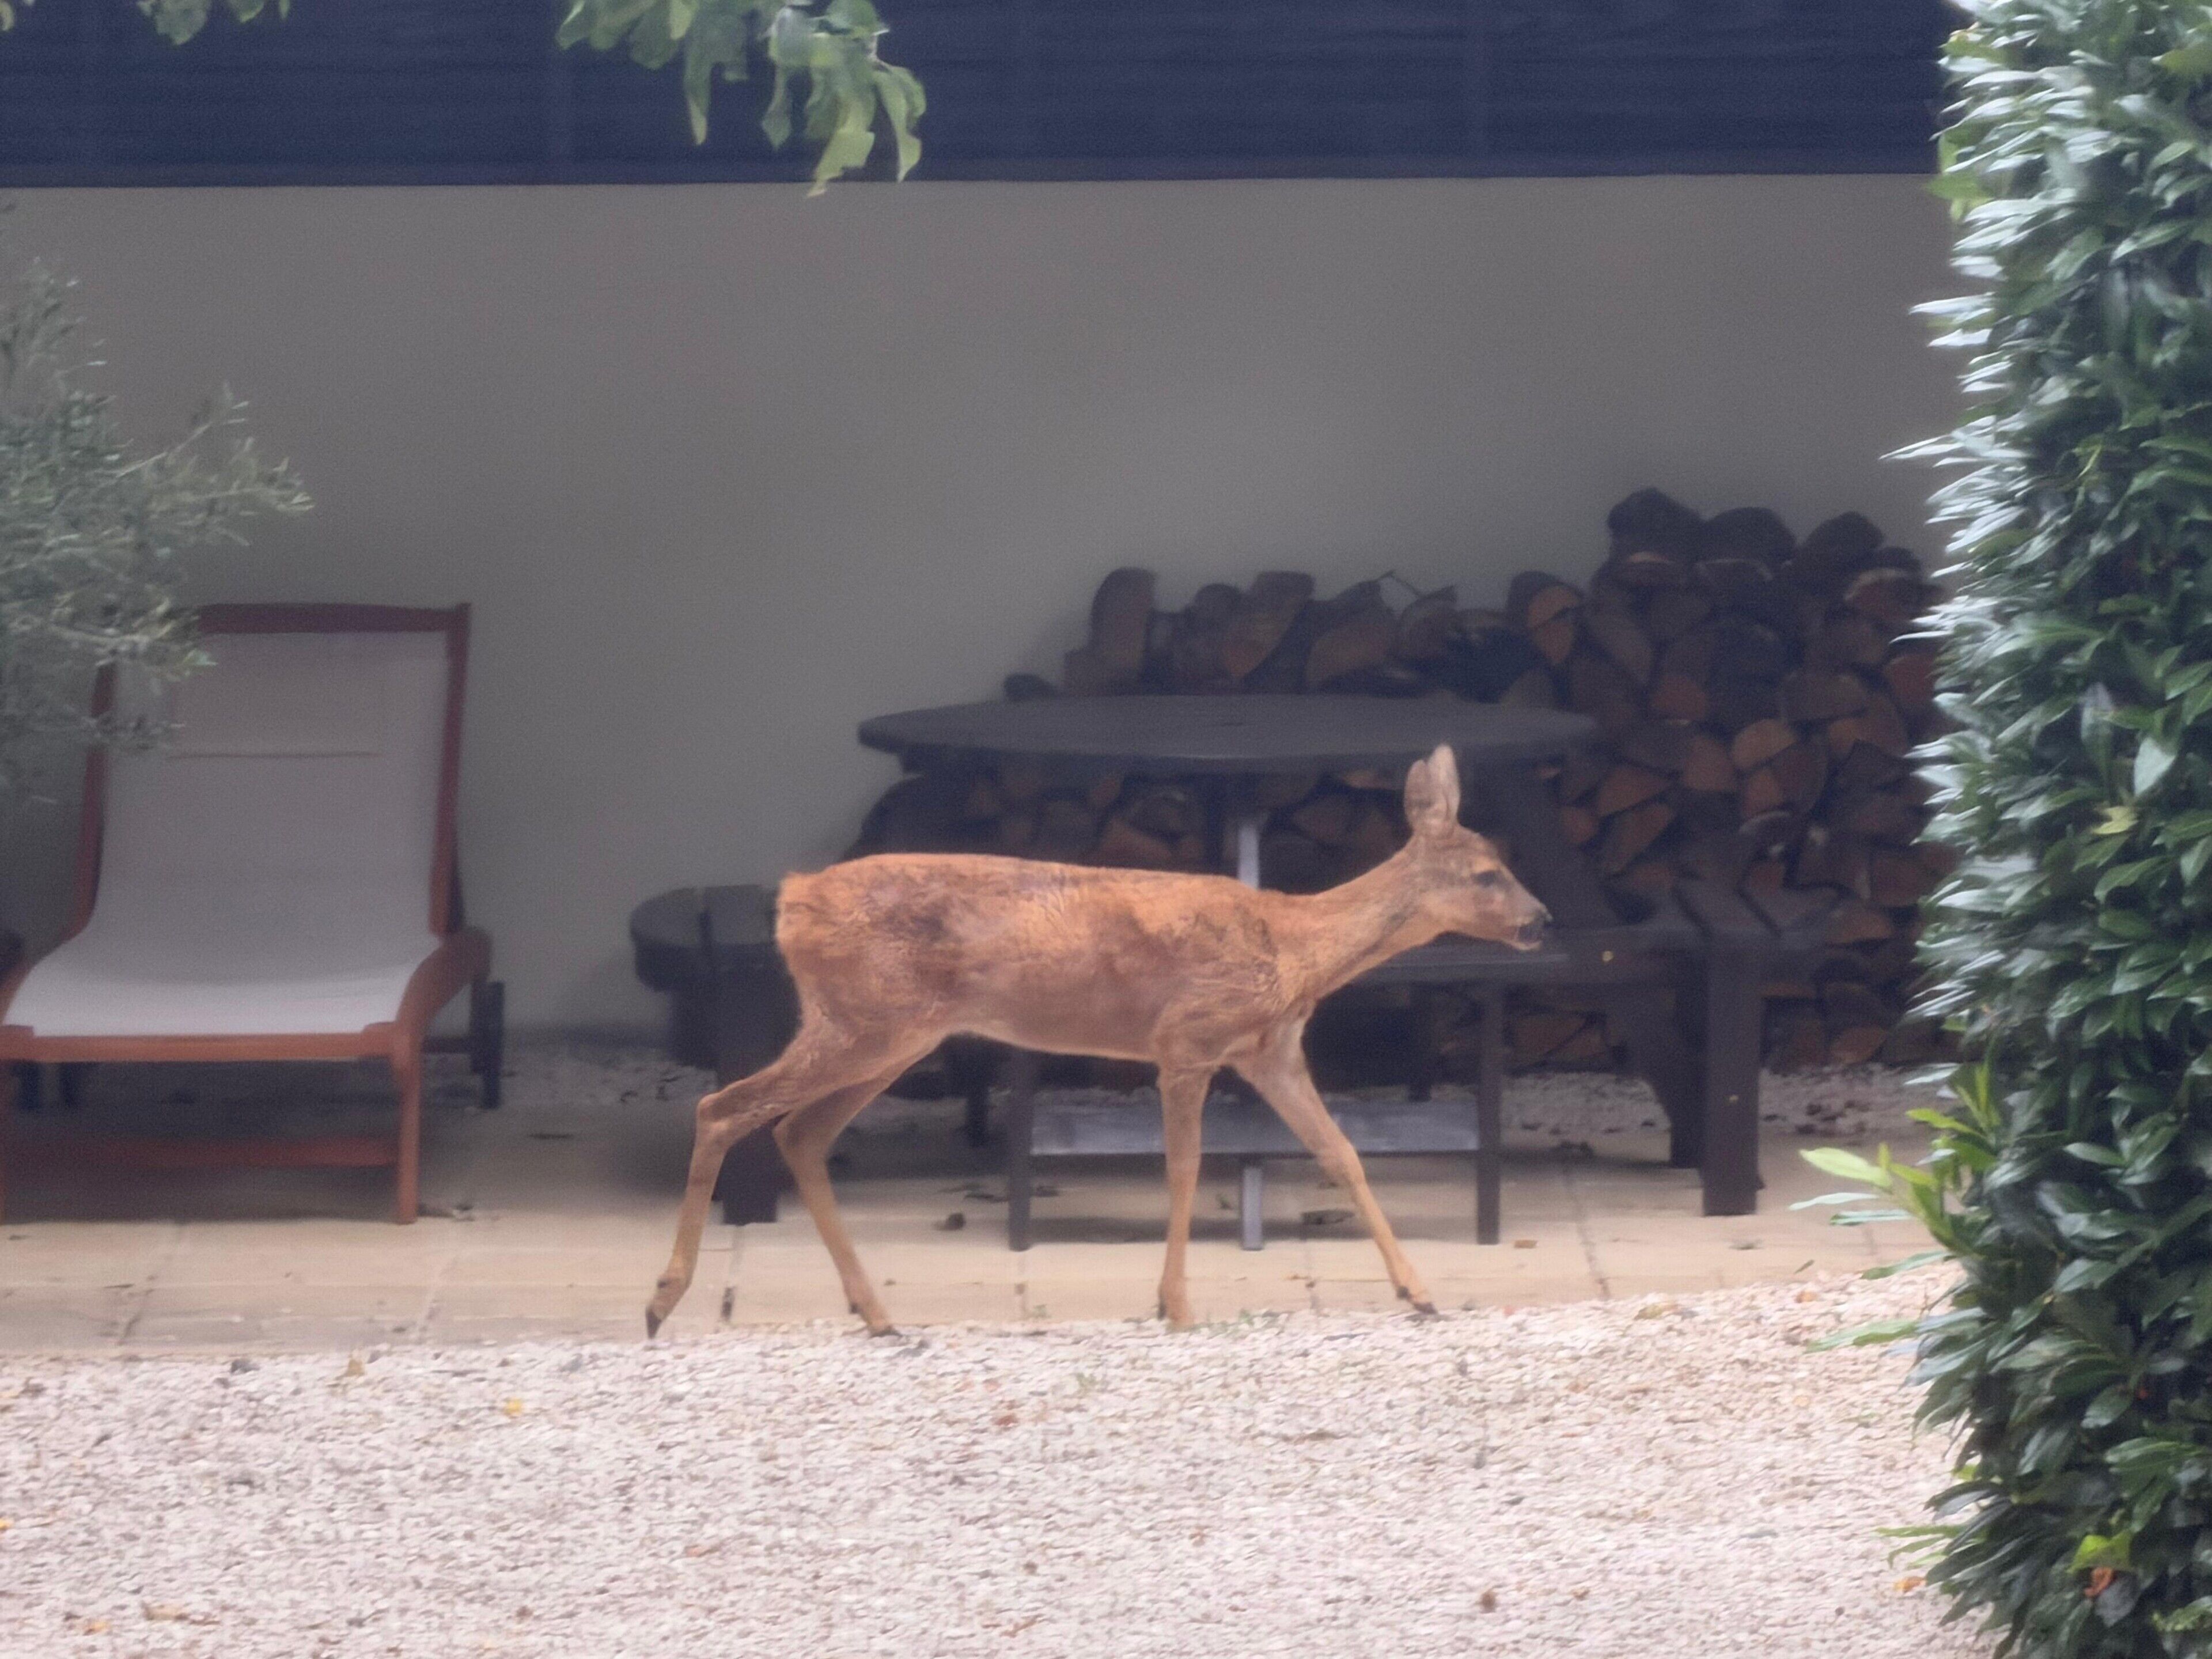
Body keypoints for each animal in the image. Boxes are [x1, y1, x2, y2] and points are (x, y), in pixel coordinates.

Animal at [646, 743, 1549, 1337]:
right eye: (1486, 875)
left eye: (1506, 862)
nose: (1541, 921)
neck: (1296, 949)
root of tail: (793, 900)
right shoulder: (1187, 1039)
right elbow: (1185, 1168)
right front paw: (1175, 1305)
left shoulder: (1271, 1051)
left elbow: (1343, 1154)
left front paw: (1420, 1292)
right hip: (864, 1021)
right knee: (724, 1107)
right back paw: (663, 1302)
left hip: (889, 1033)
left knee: (799, 1131)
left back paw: (876, 1313)